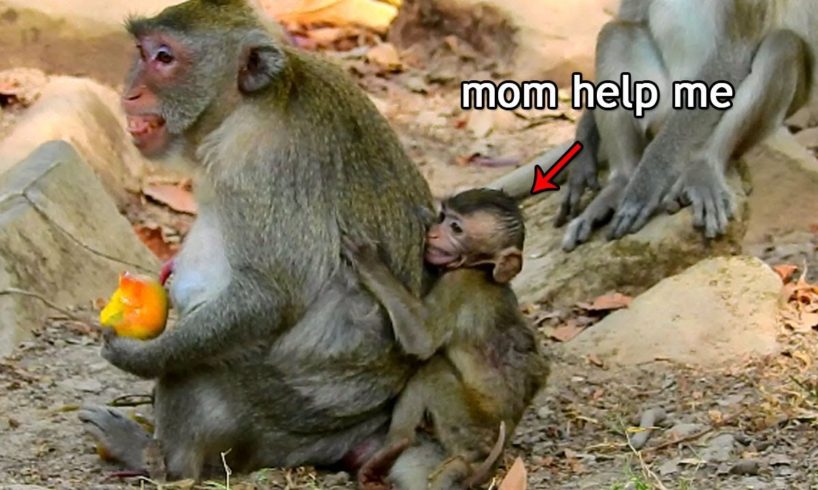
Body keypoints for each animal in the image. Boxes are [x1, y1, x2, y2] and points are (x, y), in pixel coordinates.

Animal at [78, 0, 436, 481]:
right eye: (141, 51)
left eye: (164, 58)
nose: (129, 92)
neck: (245, 106)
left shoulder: (263, 162)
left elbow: (270, 295)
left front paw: (138, 357)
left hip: (288, 416)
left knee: (197, 374)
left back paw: (158, 459)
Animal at [343, 189, 549, 490]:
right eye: (443, 218)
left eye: (456, 228)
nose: (434, 233)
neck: (483, 270)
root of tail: (488, 457)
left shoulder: (458, 282)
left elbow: (422, 339)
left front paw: (369, 261)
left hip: (466, 423)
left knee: (433, 369)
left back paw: (394, 446)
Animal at [505, 1, 818, 251]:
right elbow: (632, 14)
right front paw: (584, 150)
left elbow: (731, 54)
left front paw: (646, 187)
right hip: (660, 105)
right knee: (617, 33)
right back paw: (620, 183)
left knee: (783, 45)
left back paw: (703, 166)